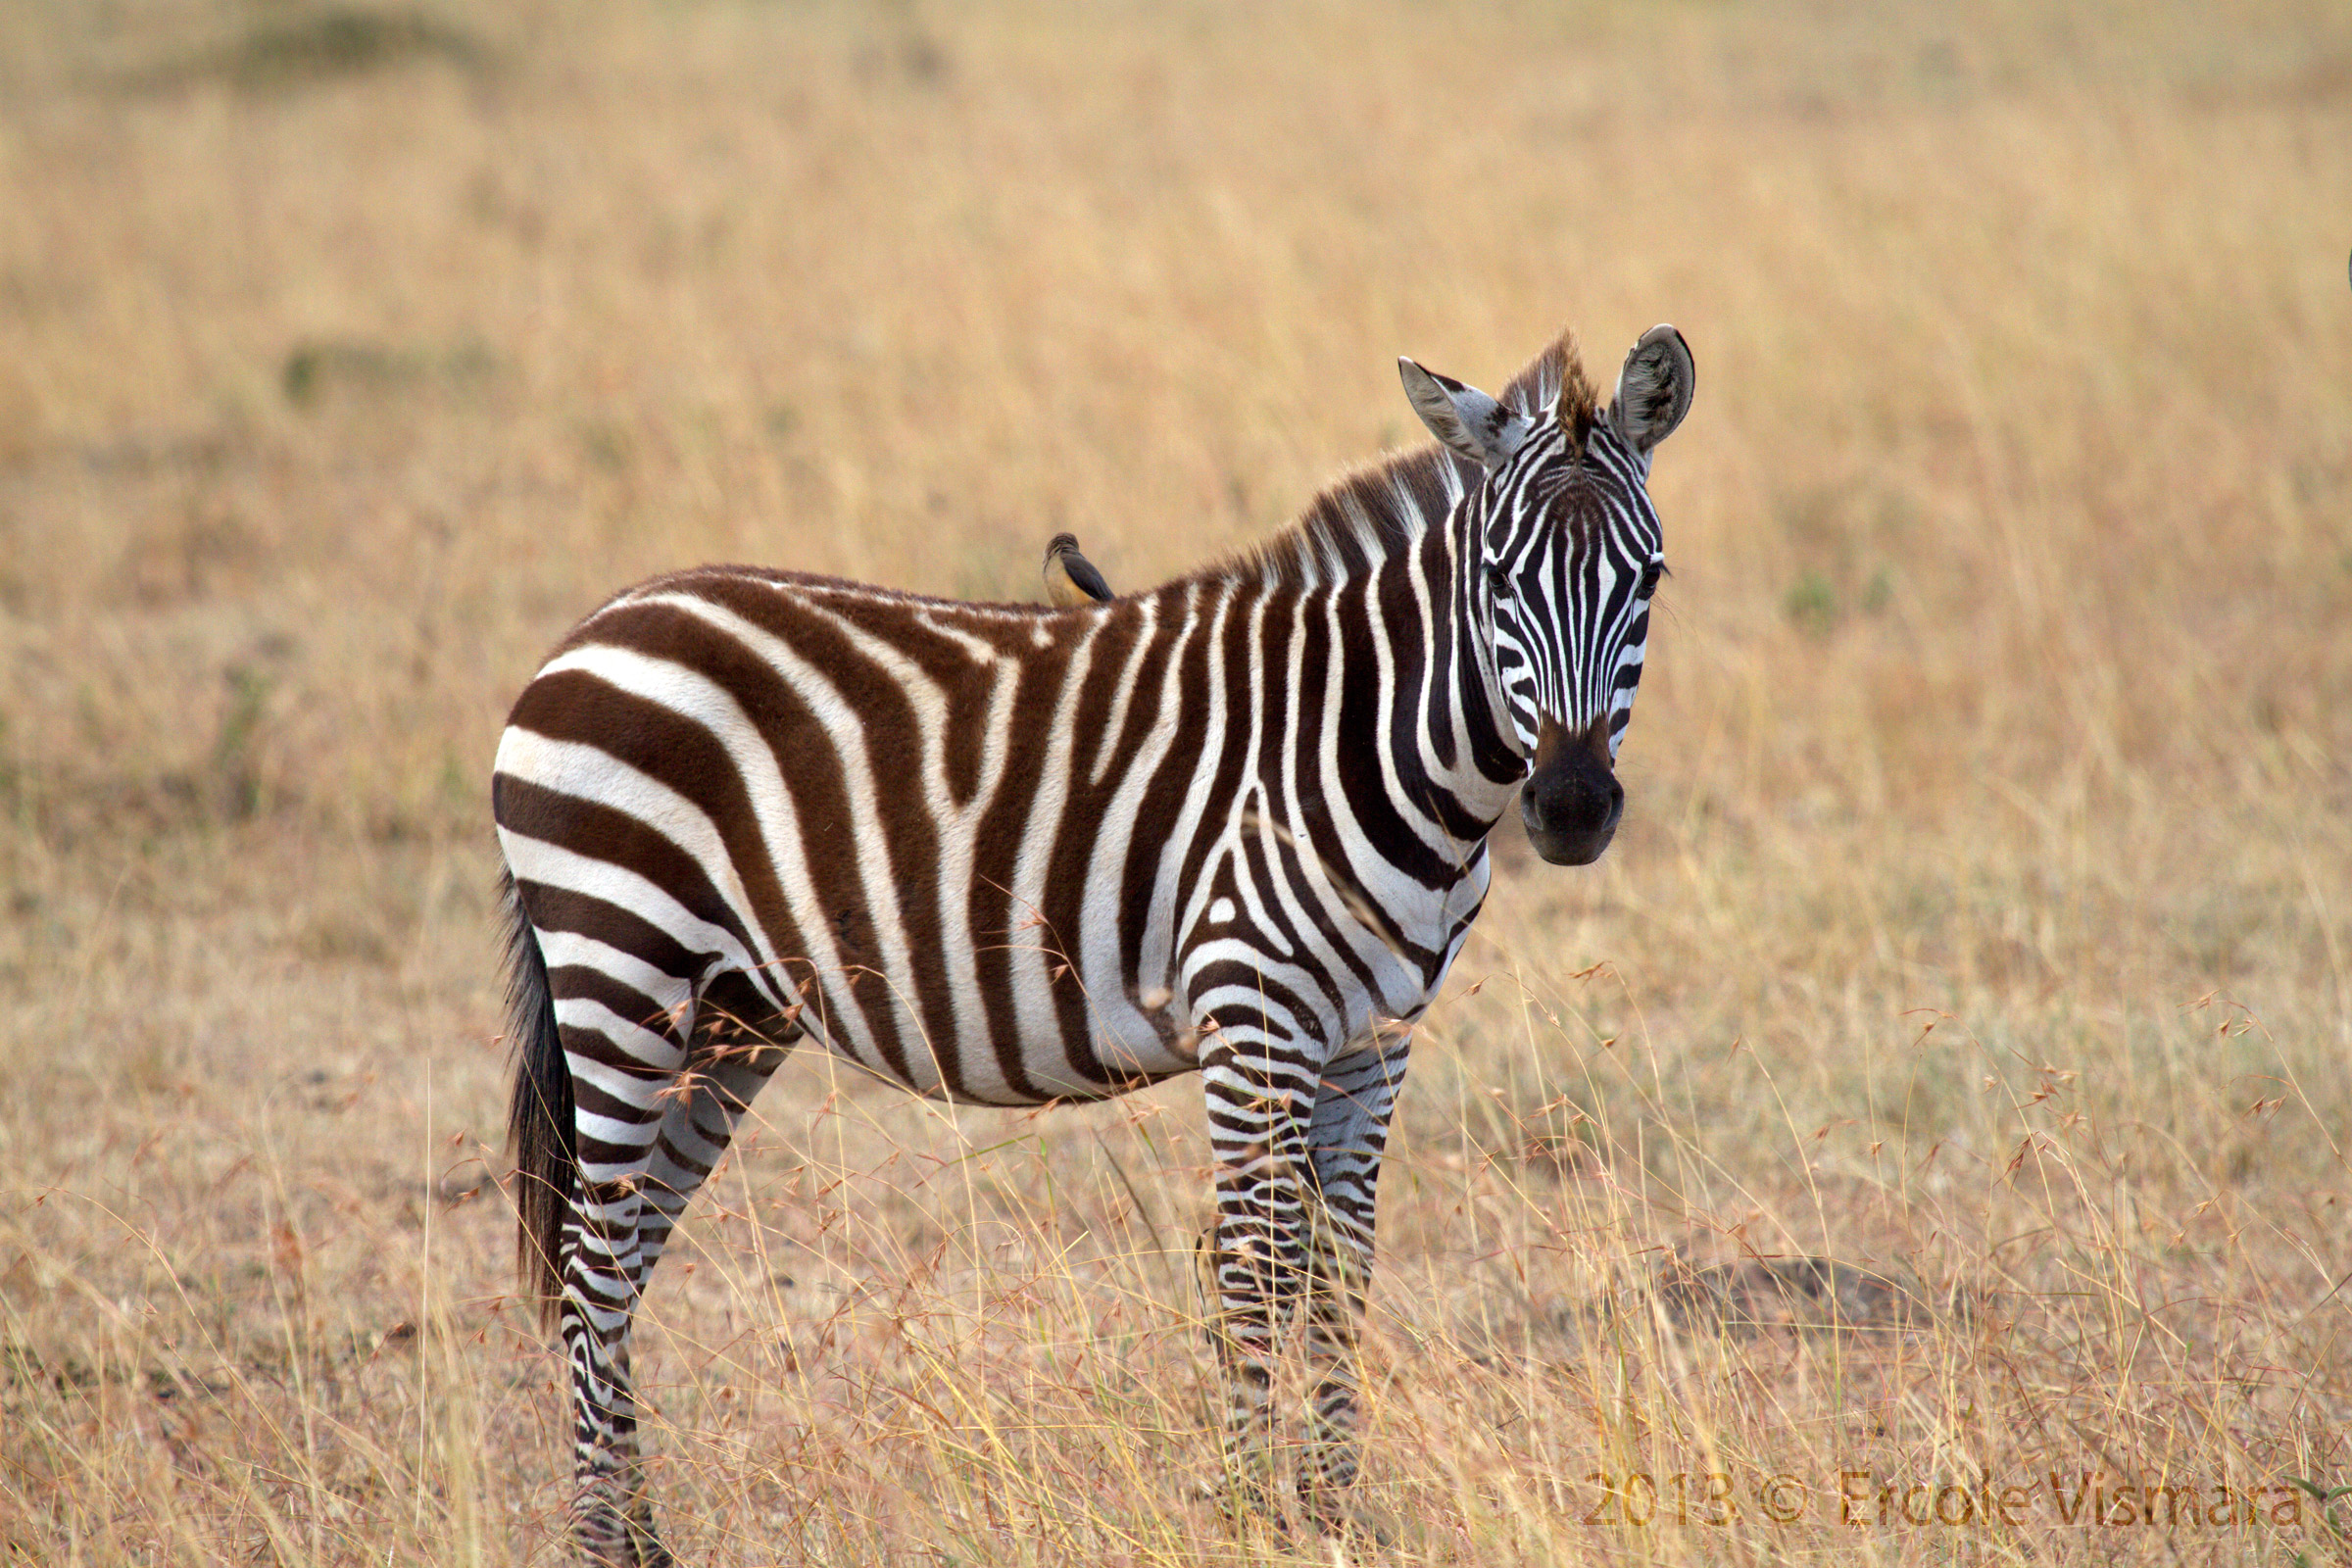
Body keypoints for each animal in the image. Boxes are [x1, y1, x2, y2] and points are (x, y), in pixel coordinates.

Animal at [495, 322, 1693, 1564]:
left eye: (1650, 579)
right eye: (1497, 580)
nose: (1570, 809)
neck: (1369, 745)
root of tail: (603, 621)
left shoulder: (1374, 1040)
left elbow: (1339, 1270)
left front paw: (1330, 1512)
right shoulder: (1252, 1017)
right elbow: (1256, 1268)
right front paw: (1250, 1515)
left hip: (731, 1014)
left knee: (628, 1251)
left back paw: (638, 1535)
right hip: (622, 965)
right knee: (592, 1261)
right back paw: (597, 1538)